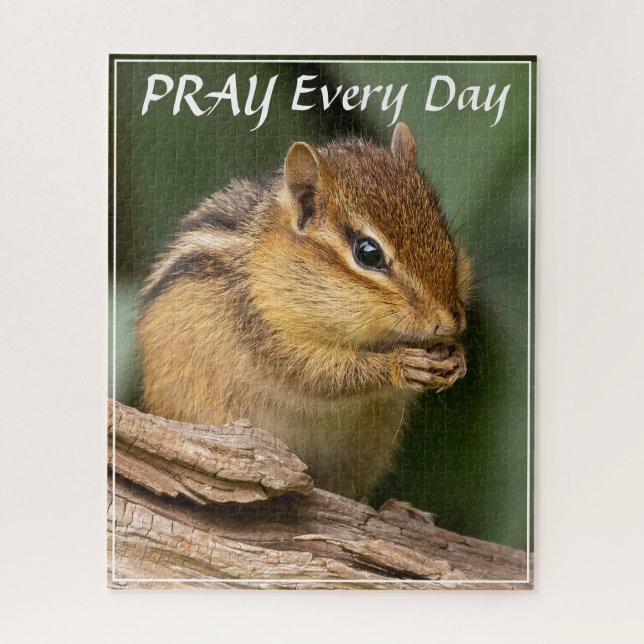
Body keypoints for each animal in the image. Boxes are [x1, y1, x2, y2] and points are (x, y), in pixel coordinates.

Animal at [137, 123, 472, 499]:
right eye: (368, 253)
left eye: (445, 234)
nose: (450, 321)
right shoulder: (263, 329)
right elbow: (318, 373)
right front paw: (400, 364)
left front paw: (456, 358)